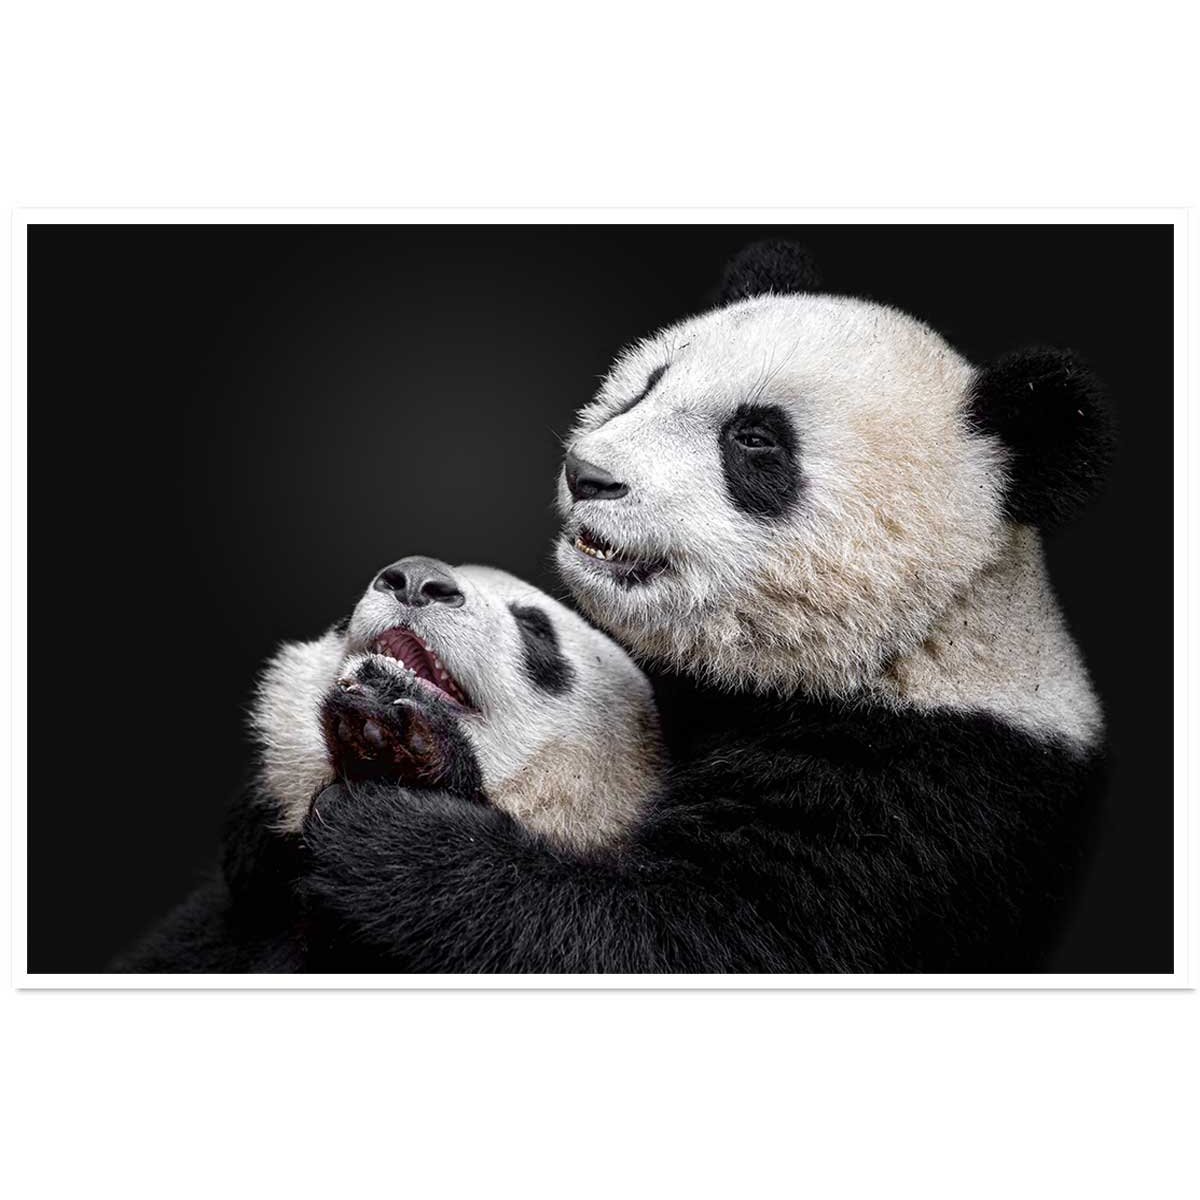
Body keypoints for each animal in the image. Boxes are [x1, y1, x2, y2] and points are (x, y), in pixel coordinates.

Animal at [301, 243, 1112, 972]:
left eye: (754, 439)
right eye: (647, 385)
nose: (588, 474)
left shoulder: (922, 795)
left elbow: (686, 938)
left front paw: (392, 814)